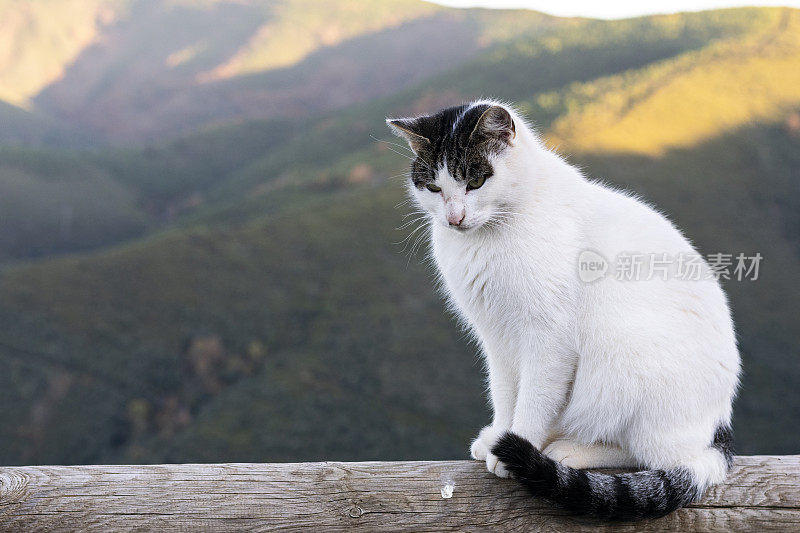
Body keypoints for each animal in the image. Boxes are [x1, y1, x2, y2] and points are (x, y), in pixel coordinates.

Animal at [386, 101, 736, 520]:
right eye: (434, 188)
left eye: (477, 182)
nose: (454, 218)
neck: (488, 239)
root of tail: (716, 427)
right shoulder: (496, 337)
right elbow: (505, 392)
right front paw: (499, 434)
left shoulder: (548, 336)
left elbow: (534, 397)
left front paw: (515, 445)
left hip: (623, 356)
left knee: (651, 455)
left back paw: (567, 452)